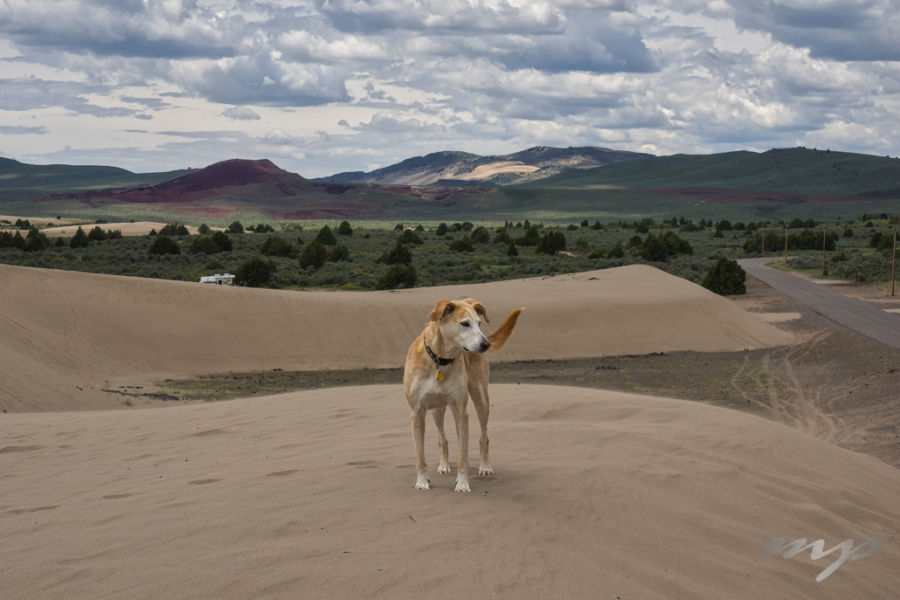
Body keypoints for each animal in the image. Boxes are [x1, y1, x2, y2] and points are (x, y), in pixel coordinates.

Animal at [402, 298, 520, 492]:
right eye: (465, 324)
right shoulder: (417, 412)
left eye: (479, 323)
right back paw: (443, 466)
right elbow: (420, 454)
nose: (486, 344)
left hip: (481, 399)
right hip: (437, 410)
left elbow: (463, 456)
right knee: (443, 439)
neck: (440, 360)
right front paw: (422, 481)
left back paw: (485, 467)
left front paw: (463, 484)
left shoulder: (461, 412)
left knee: (484, 437)